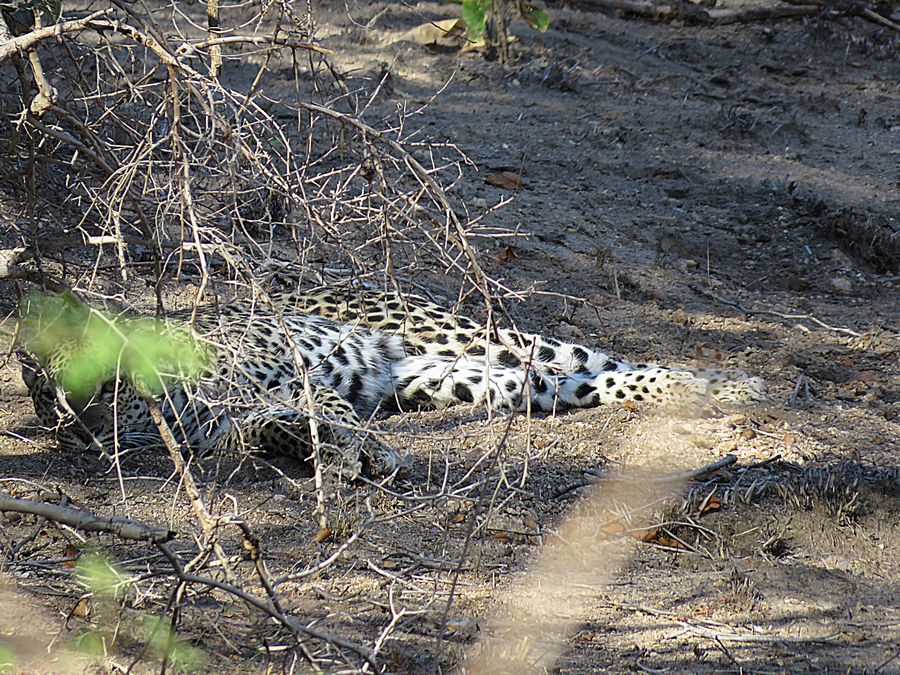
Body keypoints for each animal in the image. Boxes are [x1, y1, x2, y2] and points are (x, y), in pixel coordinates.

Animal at [19, 284, 766, 479]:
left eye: (104, 385)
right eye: (40, 394)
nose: (79, 429)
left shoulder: (288, 375)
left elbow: (324, 408)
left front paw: (367, 451)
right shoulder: (235, 422)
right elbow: (271, 425)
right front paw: (333, 454)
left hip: (475, 336)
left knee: (602, 359)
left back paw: (738, 384)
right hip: (465, 380)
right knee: (588, 385)